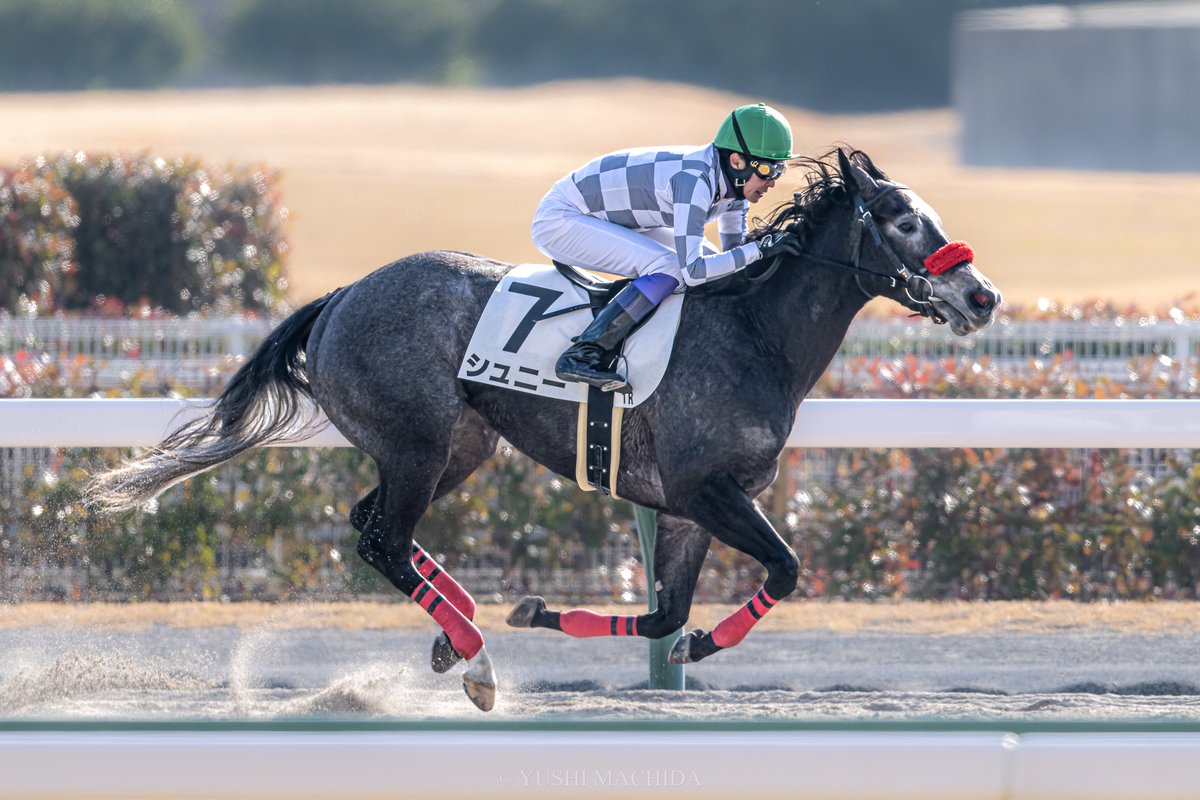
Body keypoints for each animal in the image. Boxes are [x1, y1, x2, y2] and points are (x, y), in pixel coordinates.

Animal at [88, 149, 998, 714]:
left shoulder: (684, 508)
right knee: (384, 539)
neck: (754, 333)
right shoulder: (707, 489)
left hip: (459, 446)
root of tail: (342, 296)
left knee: (371, 527)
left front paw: (590, 622)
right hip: (417, 445)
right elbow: (787, 566)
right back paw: (476, 656)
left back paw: (459, 638)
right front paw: (701, 642)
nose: (982, 296)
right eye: (901, 220)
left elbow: (665, 616)